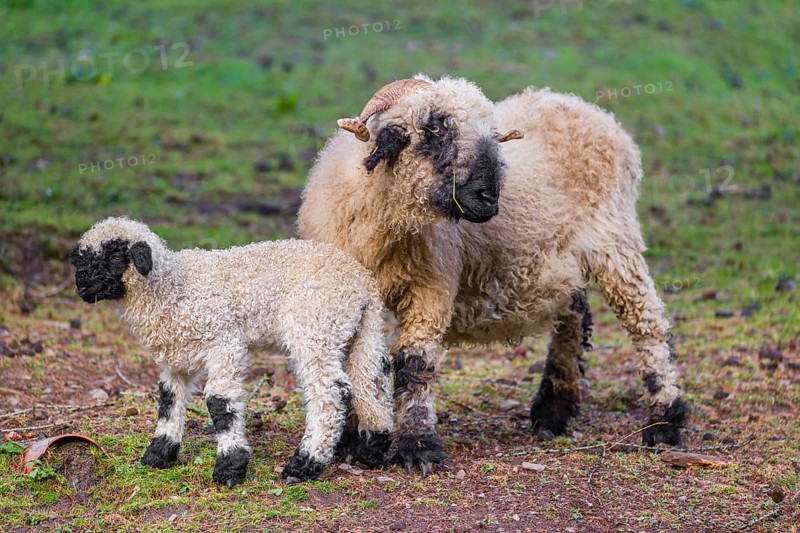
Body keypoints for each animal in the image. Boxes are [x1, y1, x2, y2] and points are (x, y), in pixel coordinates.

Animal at [69, 217, 393, 486]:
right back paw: (373, 447)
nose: (82, 287)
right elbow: (168, 399)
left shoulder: (225, 343)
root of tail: (364, 283)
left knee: (330, 394)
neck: (172, 288)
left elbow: (219, 402)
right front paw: (159, 454)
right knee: (372, 381)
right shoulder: (178, 357)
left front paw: (230, 466)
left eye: (114, 254)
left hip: (316, 327)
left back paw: (304, 464)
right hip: (357, 332)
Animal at [298, 75, 690, 475]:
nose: (489, 197)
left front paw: (420, 447)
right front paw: (350, 443)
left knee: (647, 322)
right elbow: (351, 365)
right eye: (436, 129)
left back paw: (665, 421)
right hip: (561, 262)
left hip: (614, 238)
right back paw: (553, 412)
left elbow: (414, 363)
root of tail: (589, 109)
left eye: (491, 134)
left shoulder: (432, 286)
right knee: (575, 314)